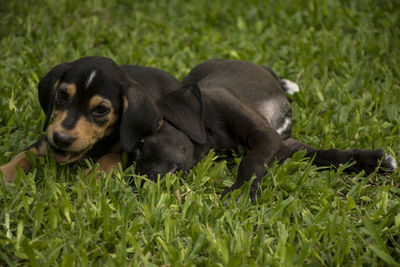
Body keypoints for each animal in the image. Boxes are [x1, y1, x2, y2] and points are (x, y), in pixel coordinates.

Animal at [1, 56, 180, 182]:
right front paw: (4, 173)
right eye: (62, 94)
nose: (61, 139)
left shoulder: (130, 149)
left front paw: (89, 177)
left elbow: (112, 157)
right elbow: (23, 156)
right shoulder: (46, 142)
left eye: (101, 109)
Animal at [134, 59, 396, 201]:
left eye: (142, 144)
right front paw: (374, 161)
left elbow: (250, 161)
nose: (136, 186)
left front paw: (239, 192)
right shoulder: (287, 147)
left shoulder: (267, 137)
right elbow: (331, 155)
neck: (207, 124)